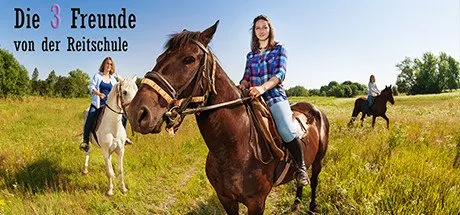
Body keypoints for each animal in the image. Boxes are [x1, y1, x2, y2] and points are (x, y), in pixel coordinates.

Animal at [126, 21, 328, 213]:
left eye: (189, 59)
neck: (233, 147)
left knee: (313, 180)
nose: (137, 112)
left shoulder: (256, 203)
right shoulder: (226, 199)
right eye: (159, 58)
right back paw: (296, 204)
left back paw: (311, 206)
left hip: (318, 161)